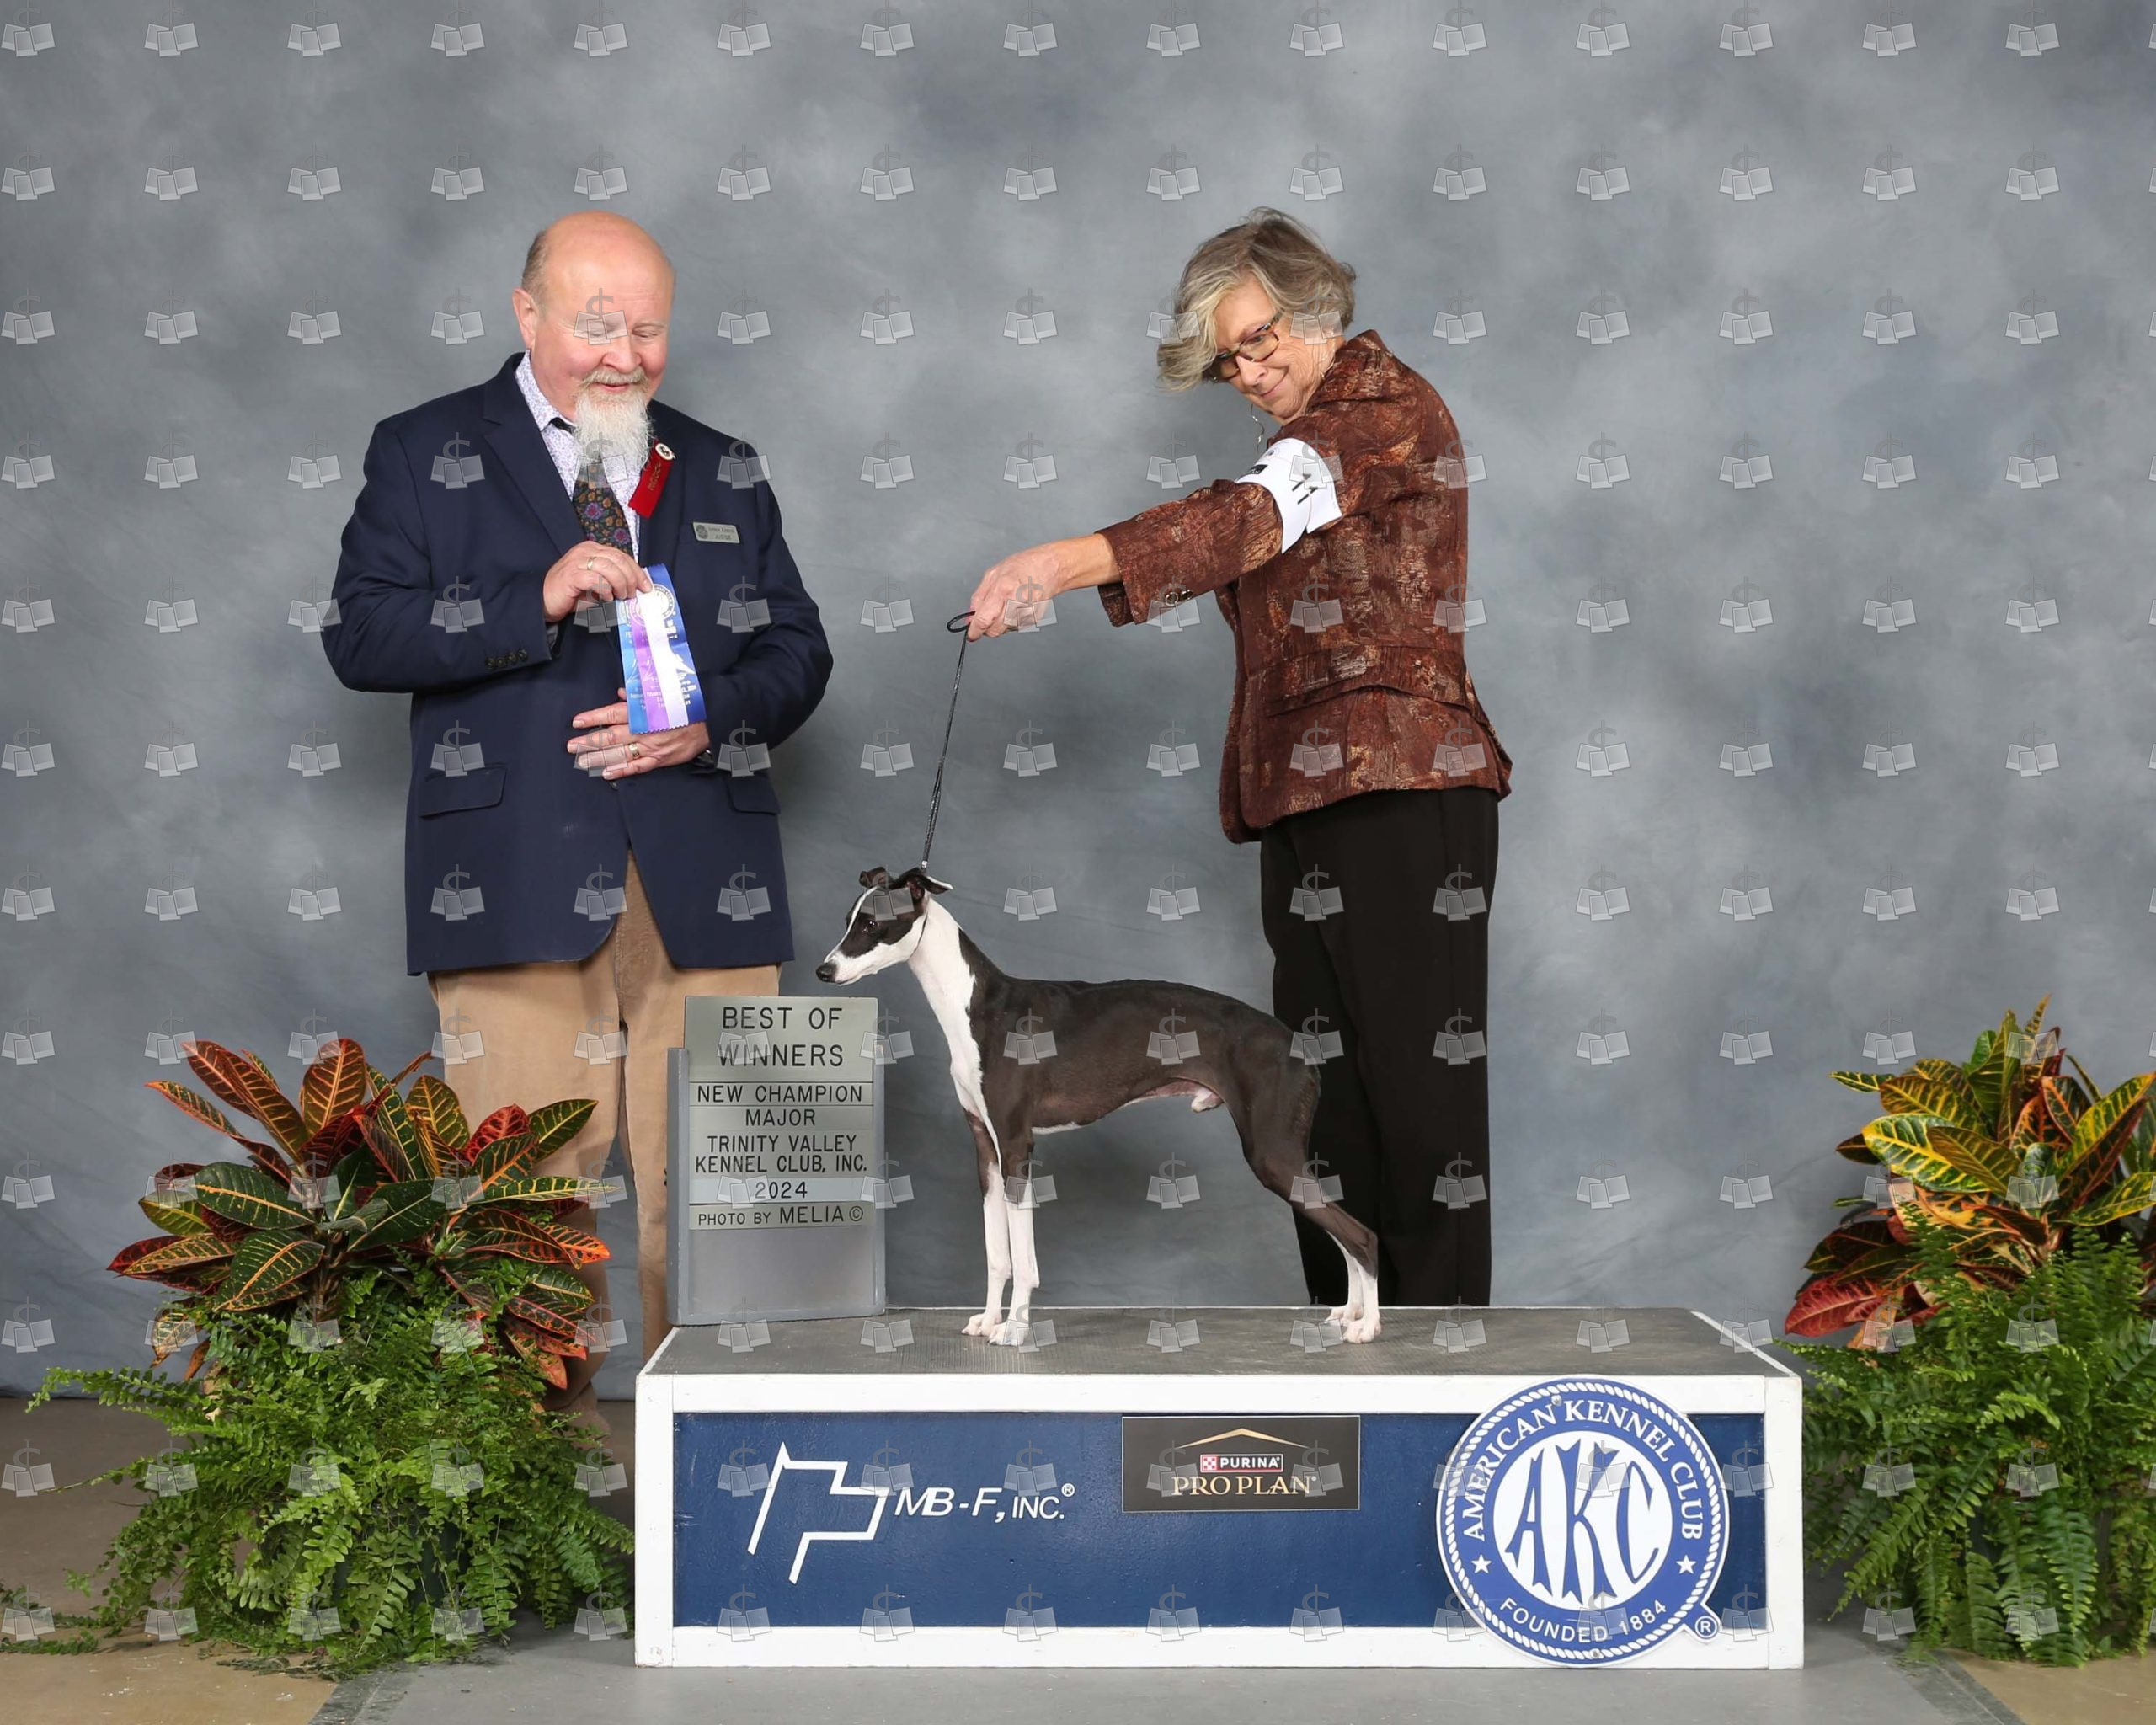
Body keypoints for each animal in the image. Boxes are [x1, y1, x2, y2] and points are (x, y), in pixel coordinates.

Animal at [814, 865, 1382, 1345]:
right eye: (846, 921)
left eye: (871, 923)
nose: (823, 971)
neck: (975, 1005)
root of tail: (1299, 1046)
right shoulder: (985, 1149)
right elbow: (998, 1255)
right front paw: (989, 1320)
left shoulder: (1017, 1146)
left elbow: (1023, 1258)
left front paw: (1016, 1329)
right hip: (1285, 1159)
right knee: (1344, 1234)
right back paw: (1349, 1312)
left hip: (1272, 1154)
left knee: (1363, 1236)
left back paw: (1368, 1325)